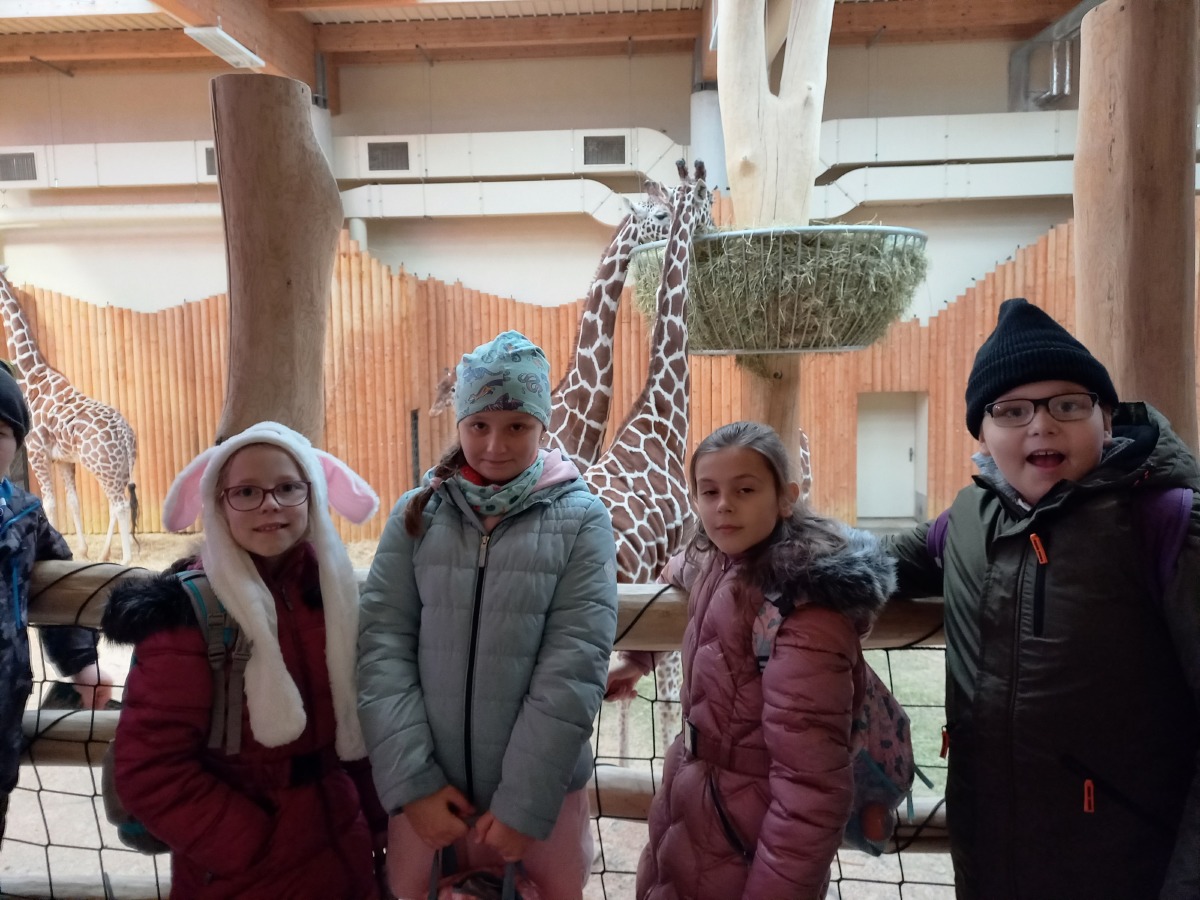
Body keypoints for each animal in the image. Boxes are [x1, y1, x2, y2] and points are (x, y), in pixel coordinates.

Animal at [0, 267, 139, 564]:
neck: (31, 374)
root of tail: (126, 435)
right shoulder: (64, 460)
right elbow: (73, 502)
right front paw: (83, 551)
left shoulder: (37, 452)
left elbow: (49, 504)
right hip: (119, 468)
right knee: (116, 505)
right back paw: (105, 552)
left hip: (103, 467)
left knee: (120, 505)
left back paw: (125, 560)